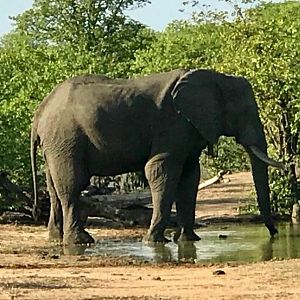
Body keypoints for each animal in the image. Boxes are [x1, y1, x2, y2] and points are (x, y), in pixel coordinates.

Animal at [29, 69, 282, 245]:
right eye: (244, 111)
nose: (274, 233)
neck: (216, 77)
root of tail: (39, 112)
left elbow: (190, 177)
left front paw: (189, 240)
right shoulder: (172, 124)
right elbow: (161, 170)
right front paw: (154, 241)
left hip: (56, 144)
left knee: (53, 188)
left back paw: (56, 238)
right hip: (65, 138)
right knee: (72, 185)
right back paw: (81, 242)